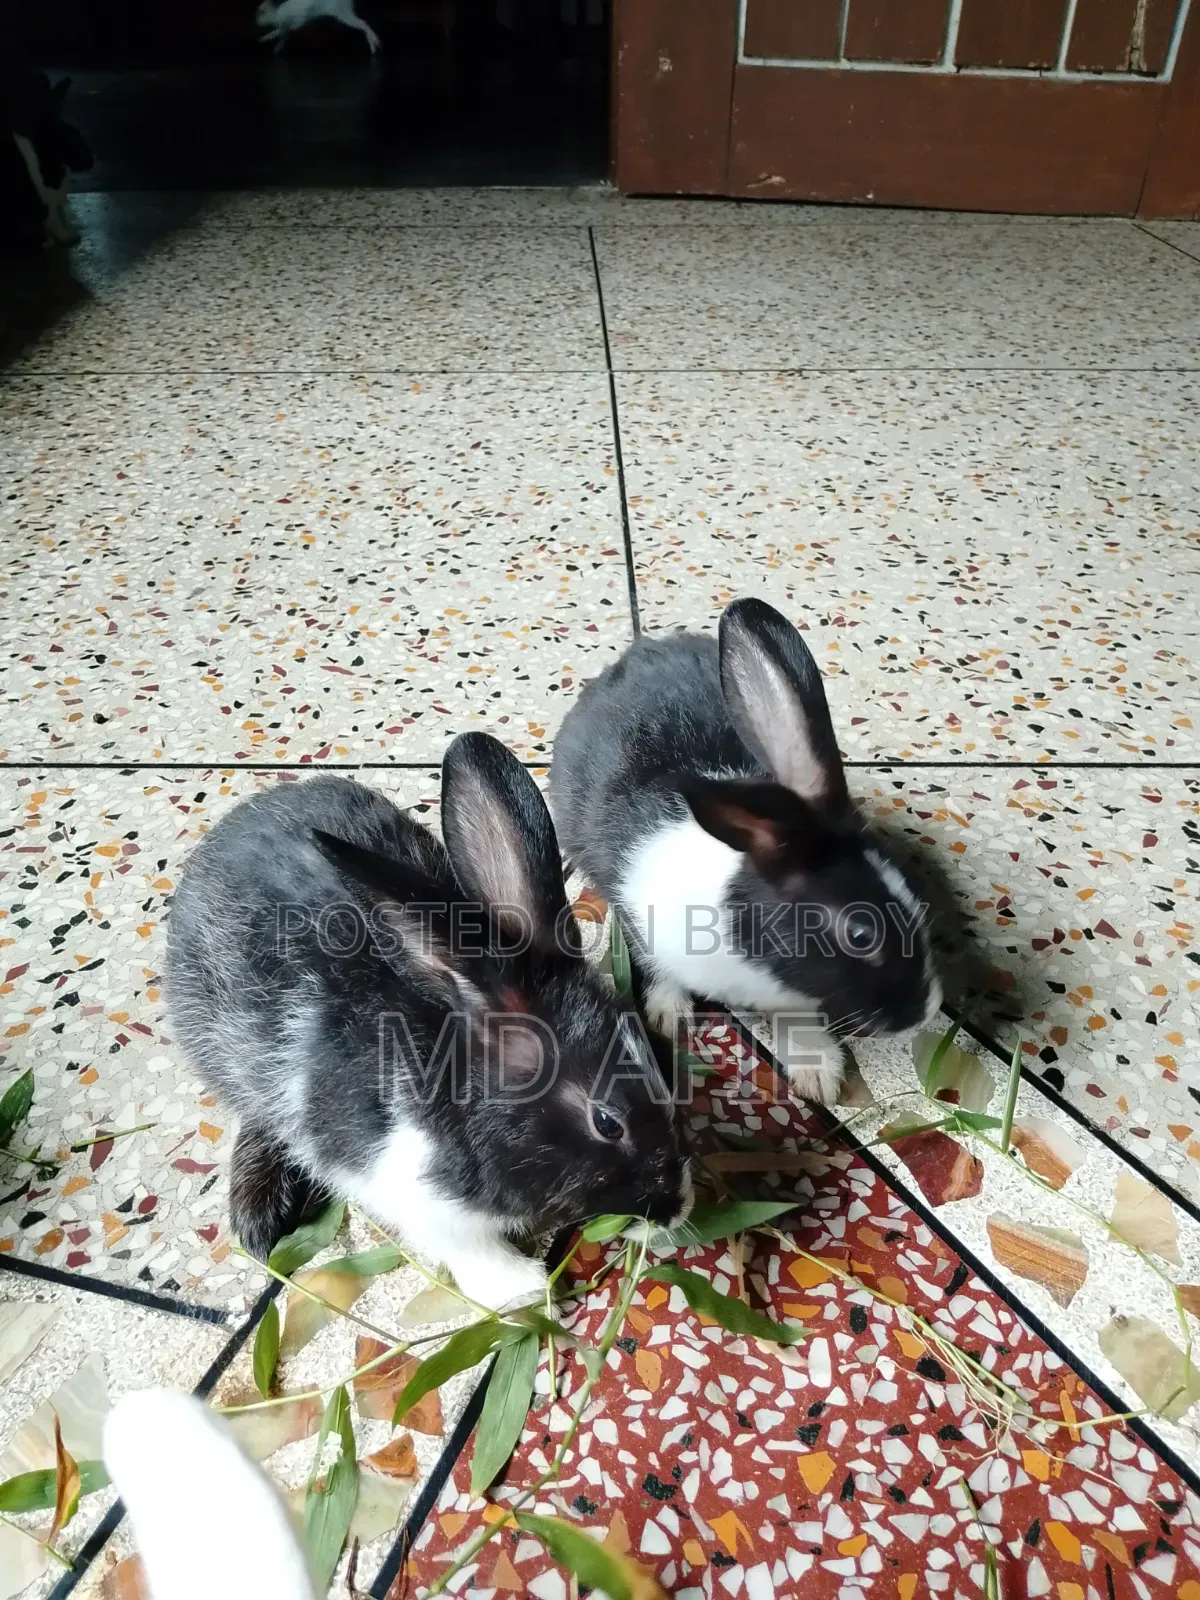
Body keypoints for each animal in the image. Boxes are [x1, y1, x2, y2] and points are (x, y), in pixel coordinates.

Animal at [166, 732, 689, 1312]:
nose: (677, 1208)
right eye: (607, 1121)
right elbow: (464, 1245)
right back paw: (260, 1218)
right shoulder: (397, 1188)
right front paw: (522, 1292)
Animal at [550, 598, 942, 1106]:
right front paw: (668, 1014)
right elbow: (653, 963)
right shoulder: (639, 916)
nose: (926, 1011)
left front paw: (818, 1073)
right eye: (860, 934)